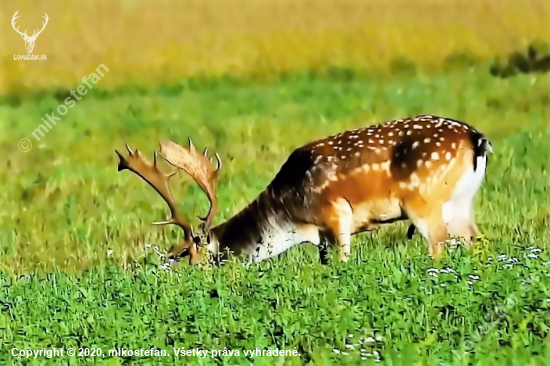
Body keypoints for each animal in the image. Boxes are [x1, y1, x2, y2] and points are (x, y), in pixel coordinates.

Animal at [116, 113, 496, 264]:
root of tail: (477, 139)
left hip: (424, 202)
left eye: (196, 259)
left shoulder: (336, 215)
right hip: (460, 203)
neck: (290, 216)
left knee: (439, 246)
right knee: (479, 242)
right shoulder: (321, 236)